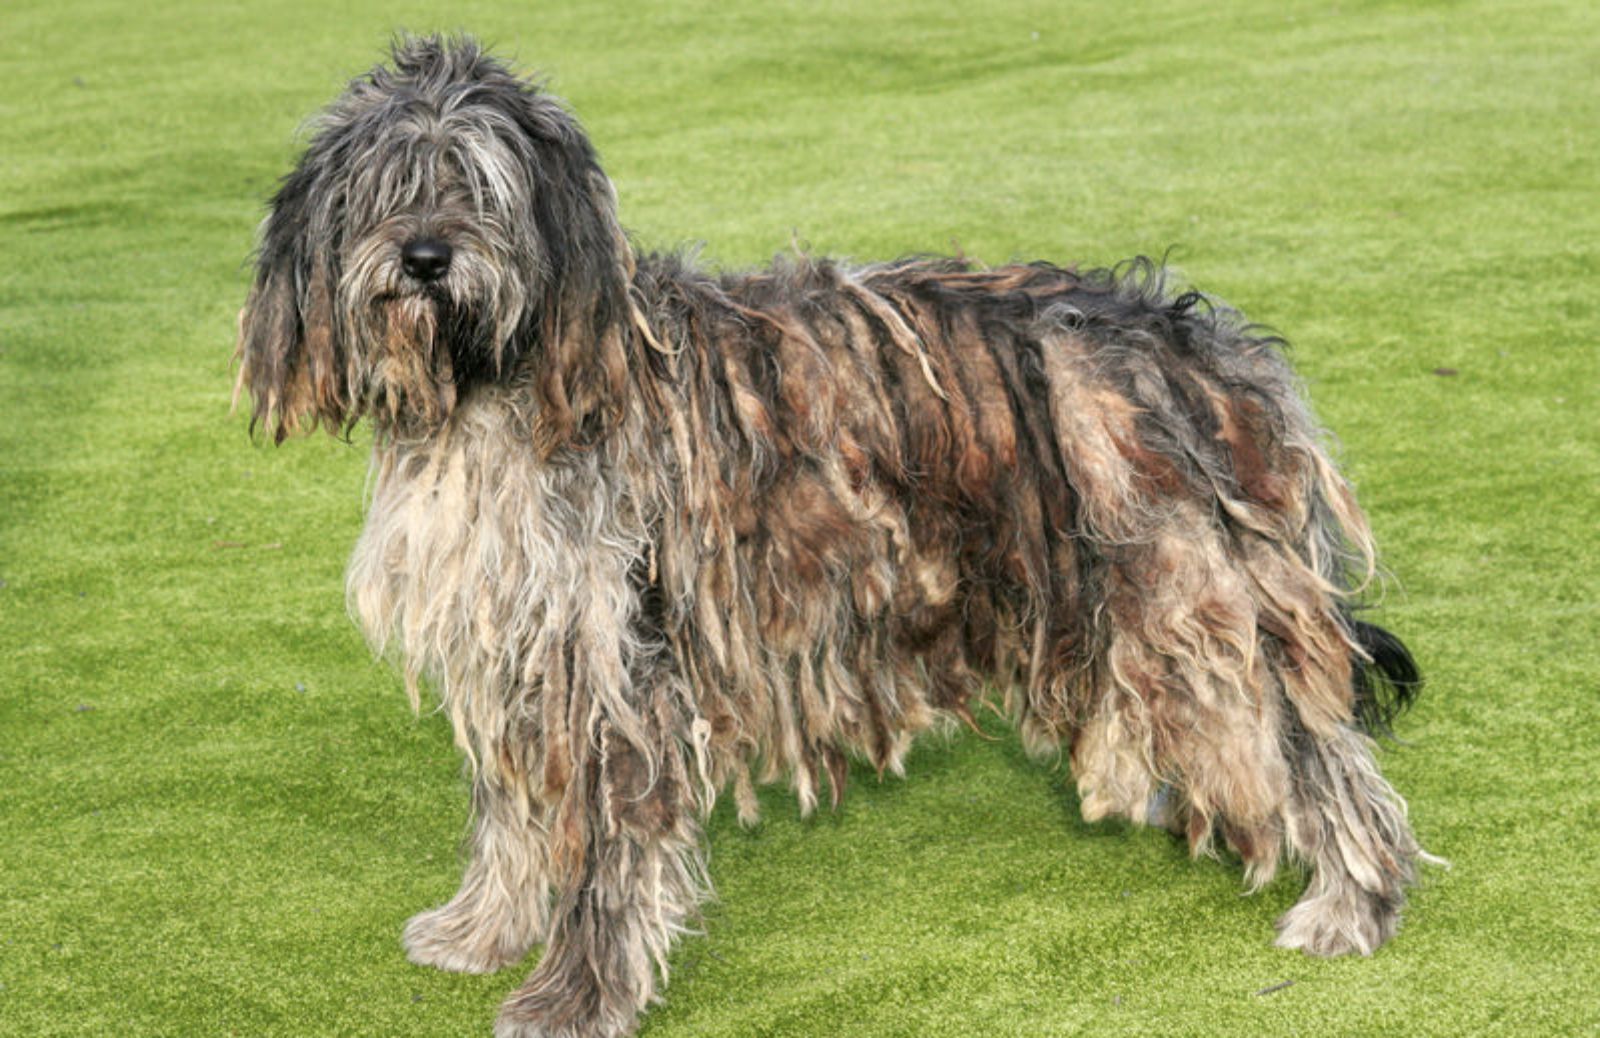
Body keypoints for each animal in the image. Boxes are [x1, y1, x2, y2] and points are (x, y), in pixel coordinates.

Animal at [233, 34, 1427, 1036]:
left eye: (478, 185)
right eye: (384, 189)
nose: (426, 257)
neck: (502, 385)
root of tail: (1199, 341)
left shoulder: (619, 656)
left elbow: (610, 856)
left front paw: (574, 998)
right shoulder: (523, 646)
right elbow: (518, 818)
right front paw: (484, 929)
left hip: (1182, 596)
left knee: (1319, 751)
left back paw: (1352, 905)